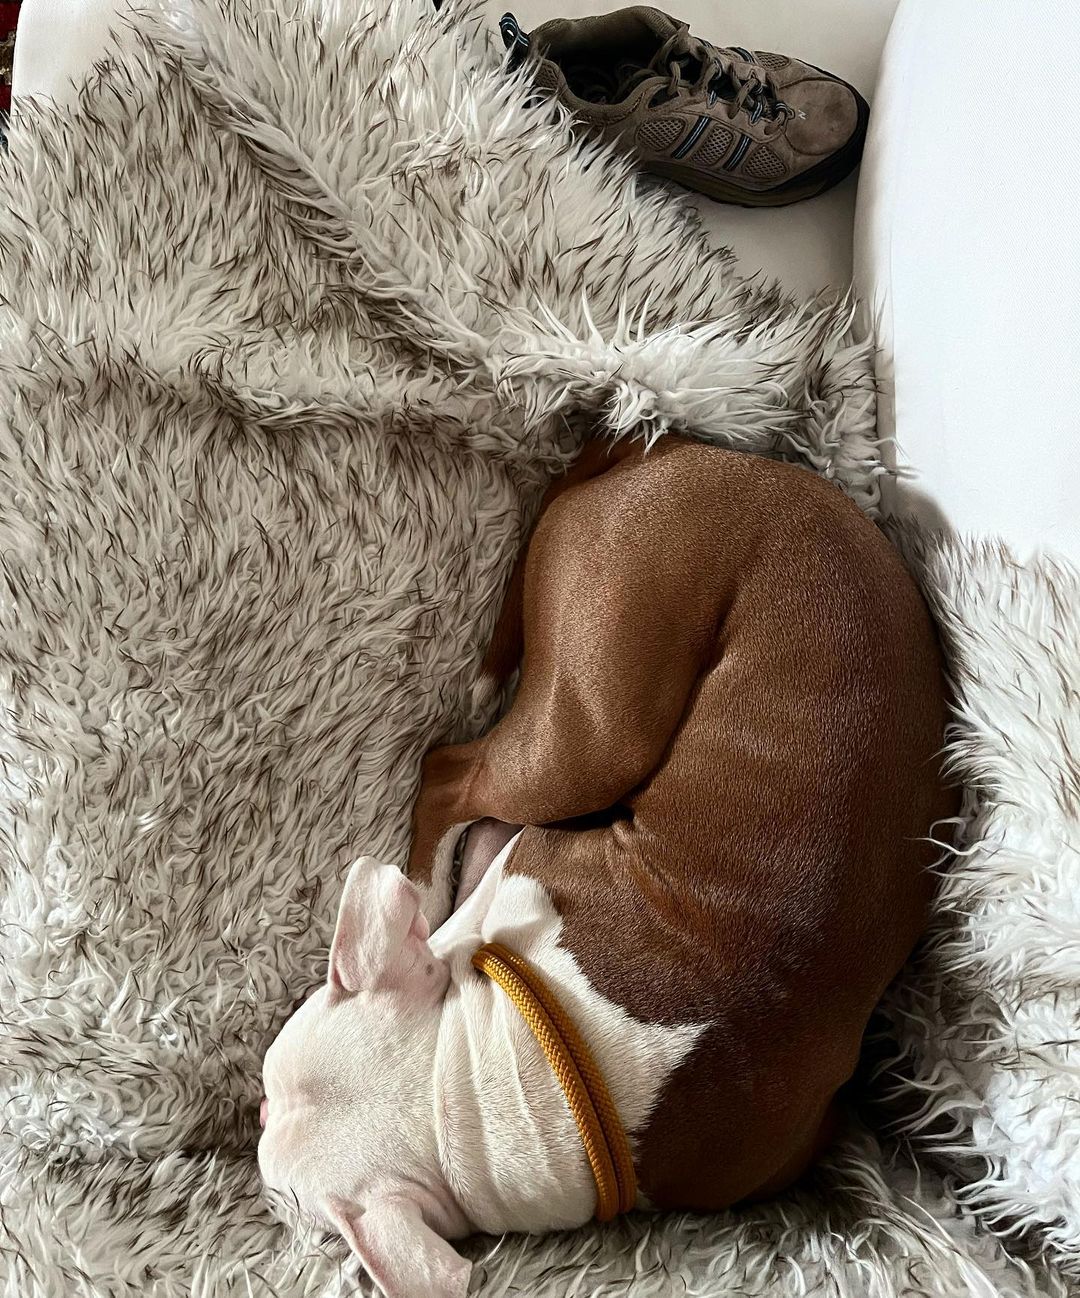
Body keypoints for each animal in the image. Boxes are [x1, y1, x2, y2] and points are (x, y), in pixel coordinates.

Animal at [259, 438, 955, 1298]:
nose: (252, 1114)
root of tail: (675, 453)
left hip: (585, 733)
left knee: (452, 770)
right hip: (596, 717)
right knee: (457, 769)